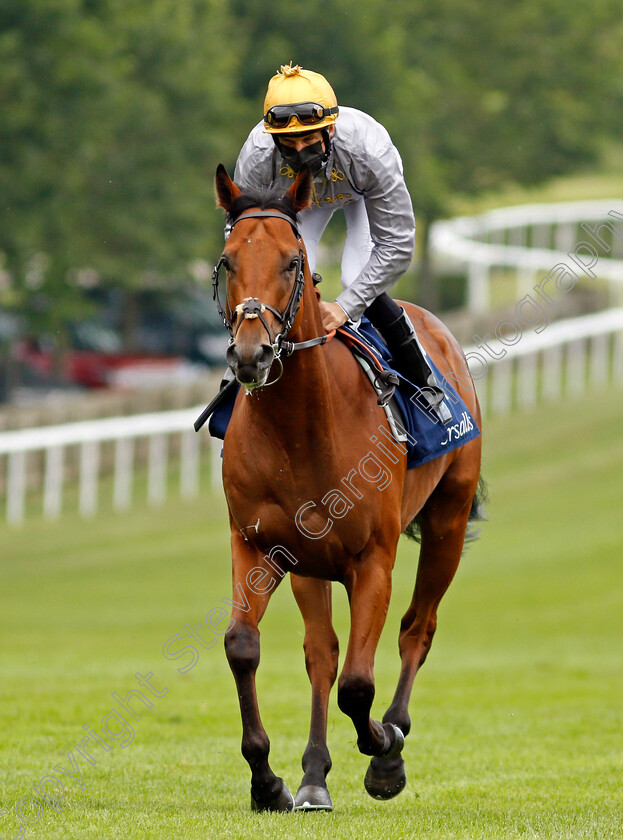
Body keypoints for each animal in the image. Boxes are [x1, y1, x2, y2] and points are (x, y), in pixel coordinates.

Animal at [213, 161, 482, 812]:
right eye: (228, 260)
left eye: (293, 261)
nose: (252, 354)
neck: (302, 427)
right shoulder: (258, 545)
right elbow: (245, 647)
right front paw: (269, 780)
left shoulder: (372, 559)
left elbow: (360, 684)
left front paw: (384, 752)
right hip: (310, 563)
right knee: (321, 653)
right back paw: (314, 775)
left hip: (448, 520)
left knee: (417, 628)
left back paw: (393, 736)